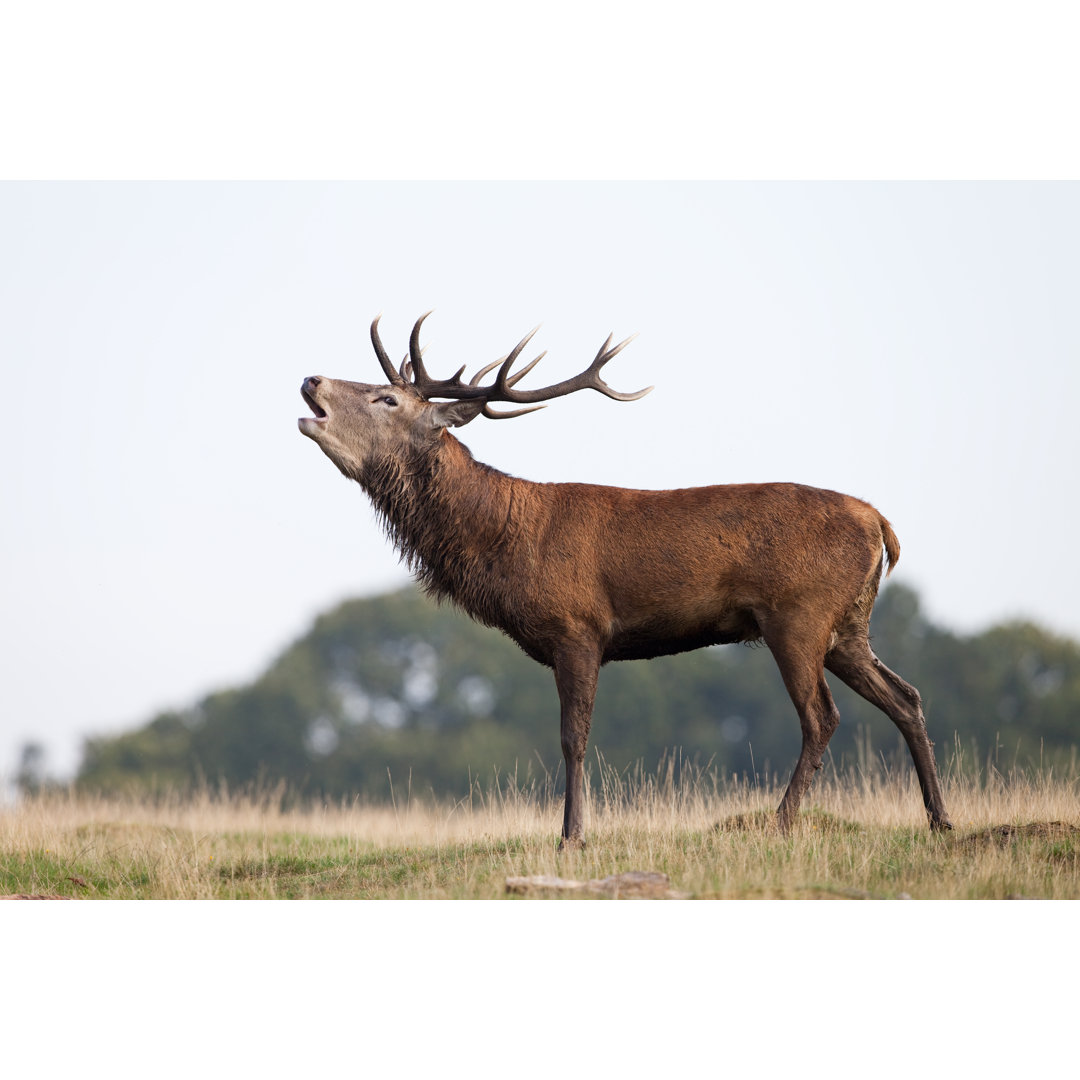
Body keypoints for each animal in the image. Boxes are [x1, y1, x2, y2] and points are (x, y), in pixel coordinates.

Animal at [298, 313, 954, 842]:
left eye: (387, 399)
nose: (311, 380)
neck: (503, 544)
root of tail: (881, 526)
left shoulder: (578, 627)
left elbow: (573, 737)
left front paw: (572, 835)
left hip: (799, 616)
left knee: (821, 717)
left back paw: (782, 823)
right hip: (848, 627)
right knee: (907, 697)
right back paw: (940, 819)